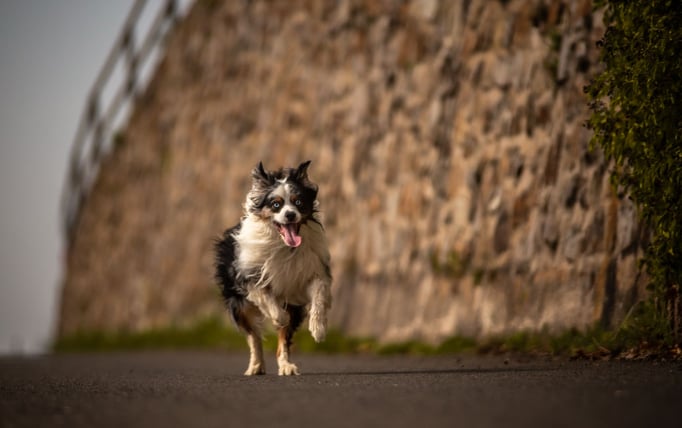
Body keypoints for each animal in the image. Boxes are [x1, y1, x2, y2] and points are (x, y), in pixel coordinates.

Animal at [214, 160, 332, 375]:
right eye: (276, 204)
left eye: (298, 202)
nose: (290, 214)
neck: (284, 246)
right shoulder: (249, 278)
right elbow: (269, 303)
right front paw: (279, 318)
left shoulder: (312, 275)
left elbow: (318, 297)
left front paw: (318, 329)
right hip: (238, 305)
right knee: (253, 336)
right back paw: (255, 365)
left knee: (282, 341)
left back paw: (286, 366)